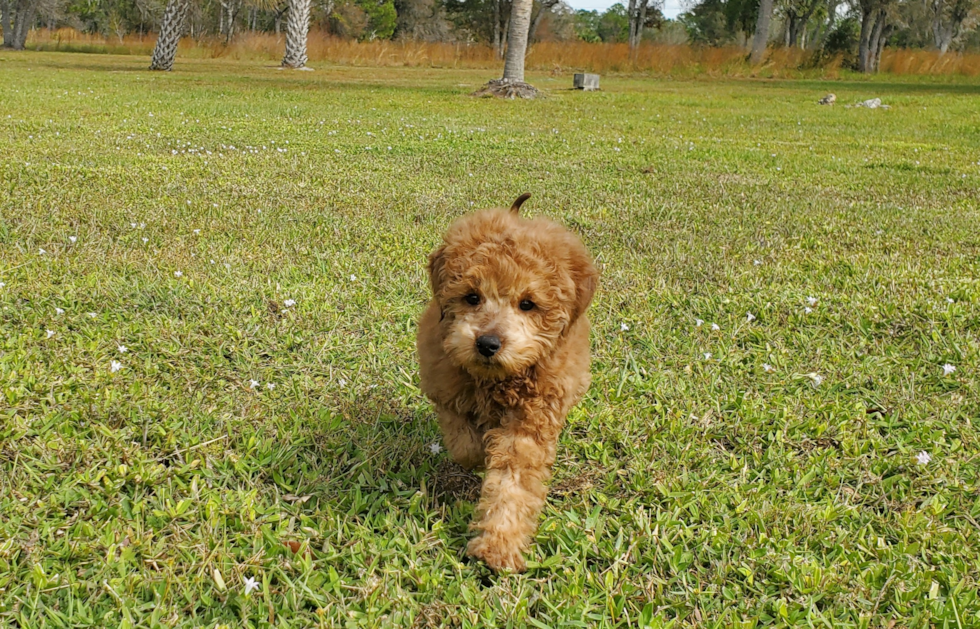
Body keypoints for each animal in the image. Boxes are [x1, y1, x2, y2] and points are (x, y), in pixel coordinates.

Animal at [416, 194, 596, 572]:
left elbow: (513, 484)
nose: (487, 344)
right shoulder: (445, 383)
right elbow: (462, 438)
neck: (497, 381)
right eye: (472, 297)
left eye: (528, 304)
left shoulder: (531, 420)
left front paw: (497, 547)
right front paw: (478, 451)